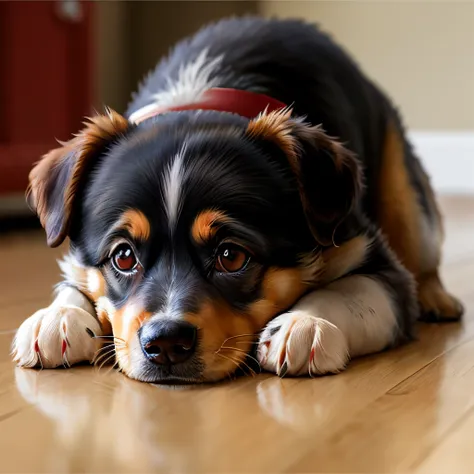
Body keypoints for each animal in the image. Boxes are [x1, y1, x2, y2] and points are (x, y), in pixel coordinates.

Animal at [12, 16, 462, 384]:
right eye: (123, 256)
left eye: (231, 256)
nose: (166, 343)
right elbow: (73, 282)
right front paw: (55, 318)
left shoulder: (368, 253)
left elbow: (352, 290)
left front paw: (303, 324)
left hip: (405, 194)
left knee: (421, 251)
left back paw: (438, 300)